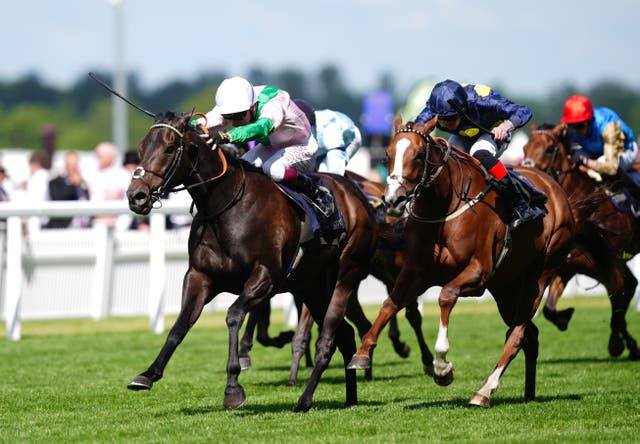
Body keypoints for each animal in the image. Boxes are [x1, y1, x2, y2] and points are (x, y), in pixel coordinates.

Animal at [124, 112, 380, 412]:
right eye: (142, 148)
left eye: (168, 148)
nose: (136, 196)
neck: (226, 208)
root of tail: (357, 194)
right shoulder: (199, 276)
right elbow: (180, 325)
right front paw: (147, 374)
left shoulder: (264, 277)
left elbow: (234, 315)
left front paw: (233, 386)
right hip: (312, 287)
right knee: (346, 336)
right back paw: (350, 398)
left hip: (345, 275)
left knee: (328, 340)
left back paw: (304, 399)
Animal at [350, 116, 576, 408]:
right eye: (388, 154)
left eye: (418, 154)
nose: (393, 200)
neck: (444, 208)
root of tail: (557, 190)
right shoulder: (416, 271)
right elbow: (390, 304)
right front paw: (362, 353)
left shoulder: (477, 274)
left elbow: (446, 296)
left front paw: (442, 367)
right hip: (506, 287)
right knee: (530, 336)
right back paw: (528, 392)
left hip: (538, 277)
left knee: (517, 334)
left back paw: (484, 391)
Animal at [524, 123, 636, 360]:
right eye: (525, 148)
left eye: (549, 149)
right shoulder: (566, 267)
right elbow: (549, 310)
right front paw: (564, 318)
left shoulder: (609, 263)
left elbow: (618, 299)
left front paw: (617, 343)